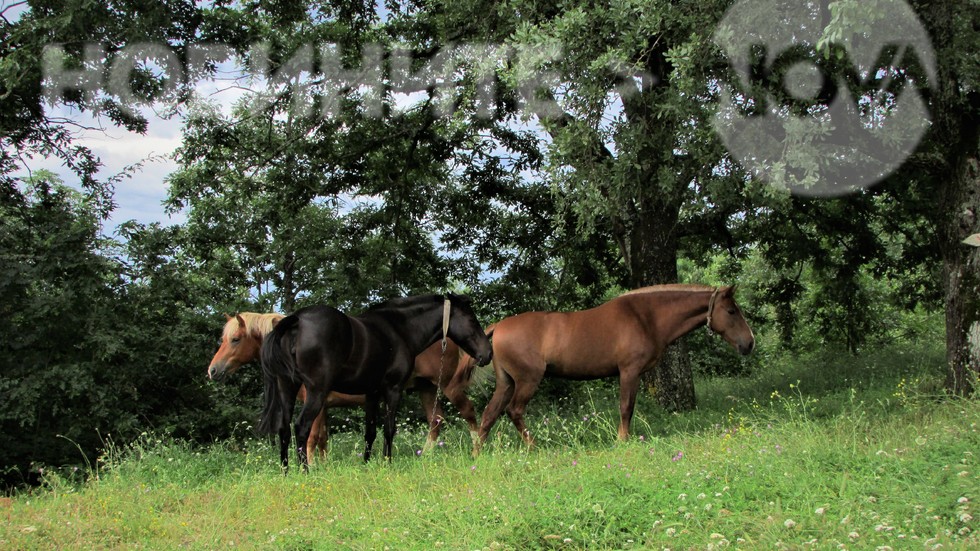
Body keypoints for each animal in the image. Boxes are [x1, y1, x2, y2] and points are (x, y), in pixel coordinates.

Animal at [209, 312, 484, 460]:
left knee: (468, 411)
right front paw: (322, 464)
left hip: (447, 386)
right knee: (435, 421)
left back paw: (476, 450)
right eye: (223, 338)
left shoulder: (318, 403)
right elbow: (322, 439)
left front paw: (312, 465)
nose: (212, 370)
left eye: (235, 339)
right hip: (426, 389)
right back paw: (424, 456)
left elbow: (312, 438)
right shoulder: (325, 407)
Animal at [260, 296, 494, 468]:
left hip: (287, 389)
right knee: (301, 427)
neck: (399, 329)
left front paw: (367, 464)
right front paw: (386, 463)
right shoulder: (392, 390)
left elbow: (370, 431)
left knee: (284, 428)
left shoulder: (371, 393)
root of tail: (297, 321)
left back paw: (286, 470)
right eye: (472, 320)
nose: (487, 353)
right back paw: (305, 470)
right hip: (316, 393)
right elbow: (389, 429)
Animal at [478, 286, 756, 454]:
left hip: (506, 382)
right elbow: (626, 407)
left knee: (489, 414)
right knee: (514, 411)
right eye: (731, 311)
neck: (646, 317)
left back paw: (477, 452)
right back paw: (534, 446)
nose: (749, 343)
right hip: (527, 380)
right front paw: (622, 440)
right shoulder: (629, 372)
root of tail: (498, 327)